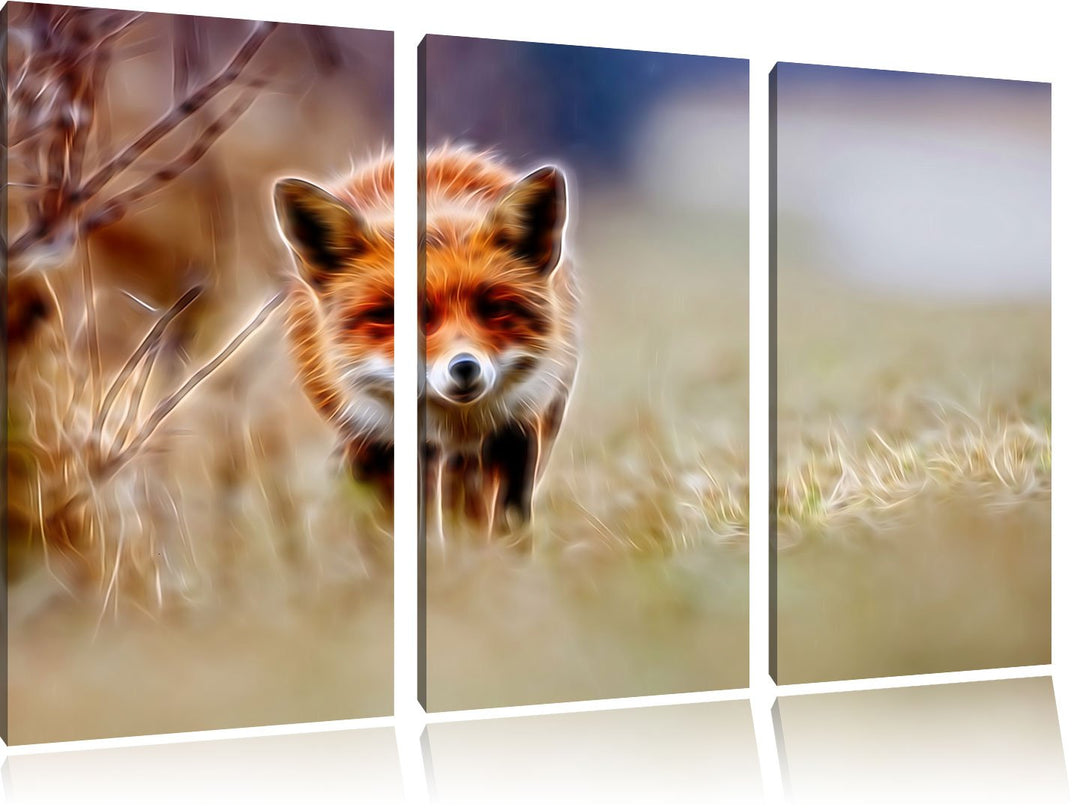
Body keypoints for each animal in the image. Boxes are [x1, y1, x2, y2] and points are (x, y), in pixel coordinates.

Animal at [273, 148, 579, 532]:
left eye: (494, 309)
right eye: (391, 314)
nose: (464, 367)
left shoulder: (516, 433)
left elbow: (498, 522)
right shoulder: (374, 442)